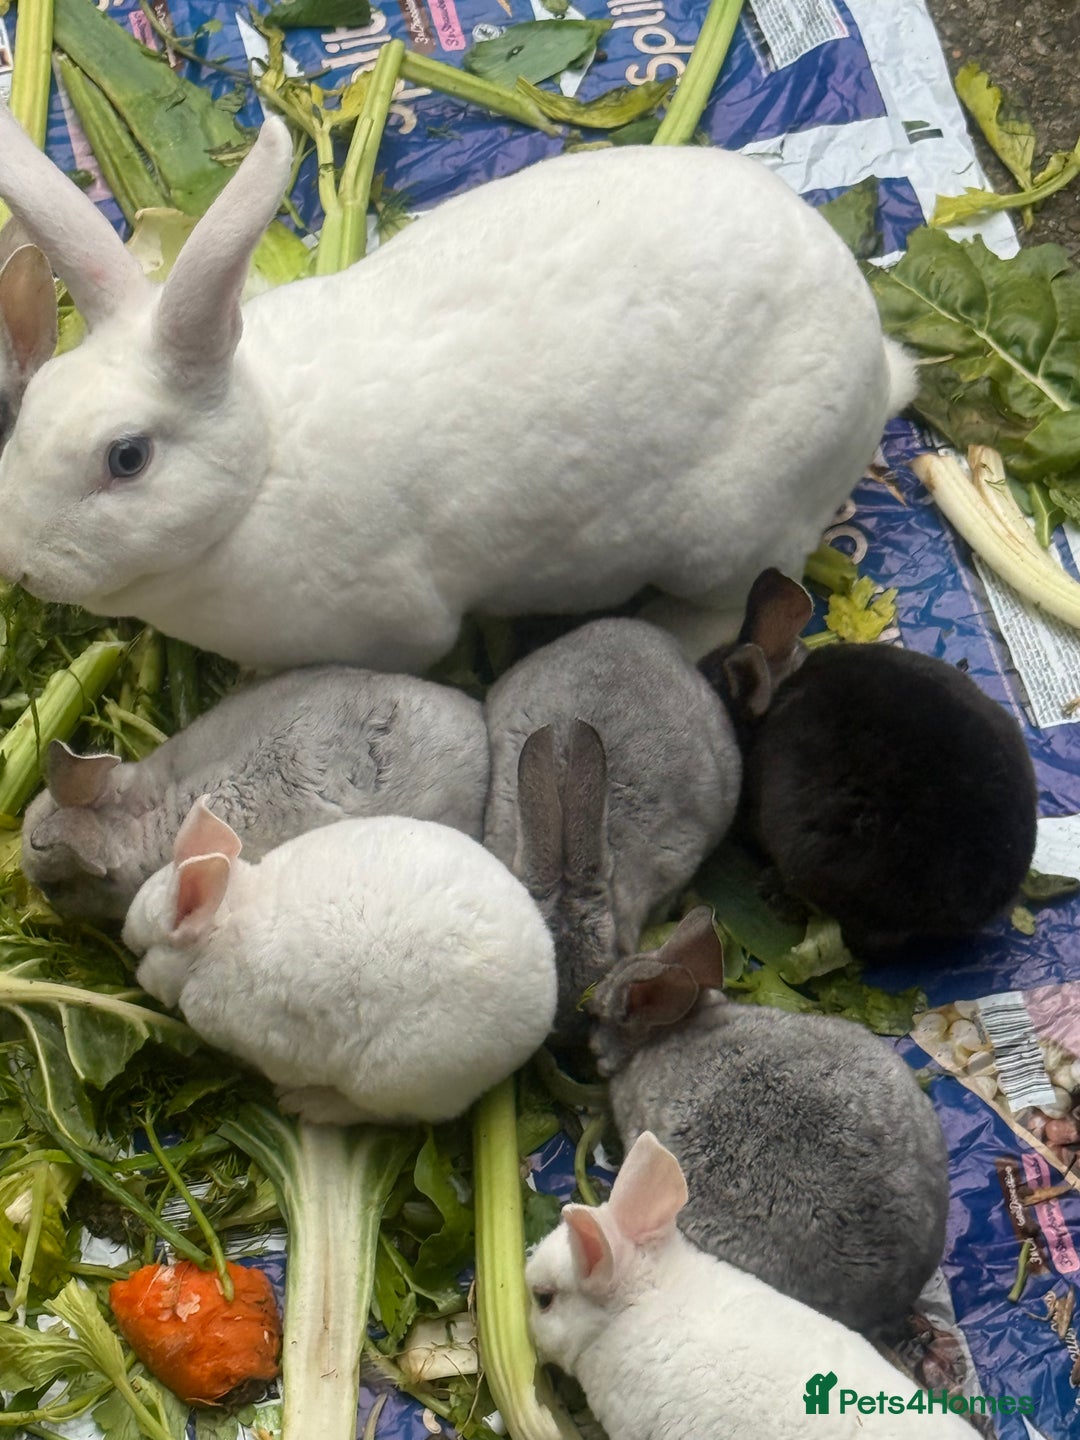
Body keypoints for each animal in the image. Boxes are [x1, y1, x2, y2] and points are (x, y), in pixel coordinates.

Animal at [0, 110, 914, 673]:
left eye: (126, 458)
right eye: (28, 408)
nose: (18, 563)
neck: (263, 460)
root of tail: (878, 366)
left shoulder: (392, 634)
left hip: (732, 531)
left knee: (730, 608)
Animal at [123, 798, 557, 1124]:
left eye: (144, 952)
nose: (129, 955)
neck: (221, 925)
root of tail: (541, 1014)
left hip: (390, 1079)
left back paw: (307, 1104)